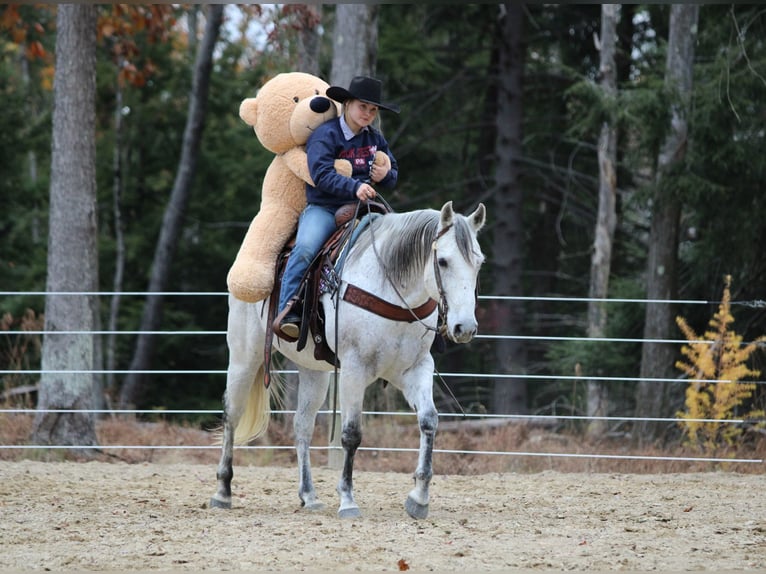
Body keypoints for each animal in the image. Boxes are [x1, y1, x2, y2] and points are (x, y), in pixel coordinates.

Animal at [210, 200, 486, 519]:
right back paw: (222, 492)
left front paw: (419, 498)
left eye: (479, 263)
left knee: (302, 426)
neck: (391, 287)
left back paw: (309, 496)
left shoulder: (415, 368)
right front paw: (348, 500)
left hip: (314, 371)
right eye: (442, 261)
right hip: (245, 355)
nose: (465, 327)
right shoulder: (355, 369)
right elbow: (352, 434)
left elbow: (429, 420)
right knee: (232, 414)